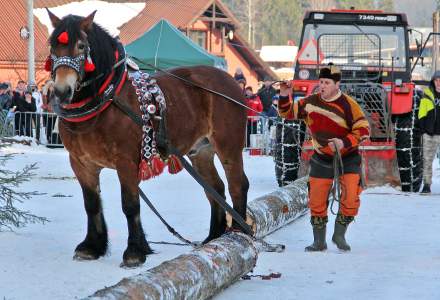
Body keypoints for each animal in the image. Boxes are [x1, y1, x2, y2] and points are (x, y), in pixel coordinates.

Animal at [46, 9, 249, 268]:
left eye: (81, 46)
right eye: (52, 45)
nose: (62, 91)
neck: (107, 101)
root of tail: (229, 82)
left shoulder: (126, 162)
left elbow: (130, 205)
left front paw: (134, 251)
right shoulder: (81, 163)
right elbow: (91, 204)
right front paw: (92, 246)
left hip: (229, 147)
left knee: (237, 185)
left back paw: (238, 234)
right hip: (201, 152)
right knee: (215, 189)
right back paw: (214, 237)